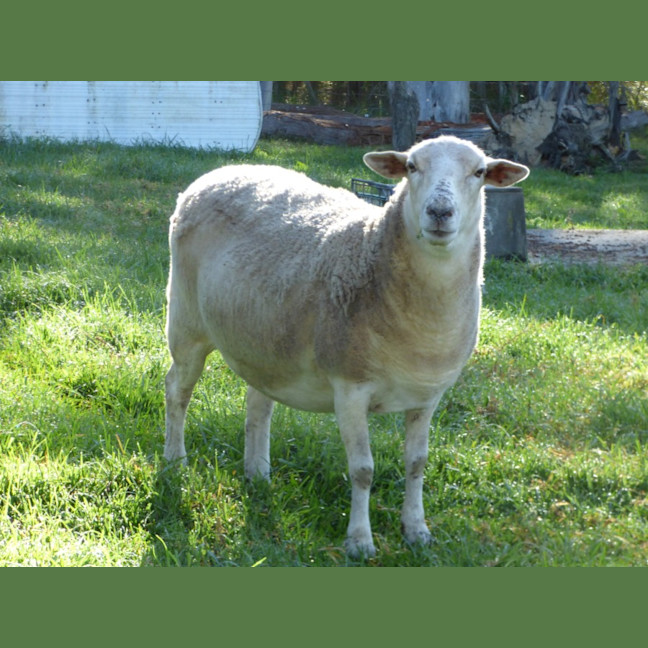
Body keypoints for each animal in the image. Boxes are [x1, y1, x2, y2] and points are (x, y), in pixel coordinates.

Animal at [164, 135, 529, 558]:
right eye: (411, 167)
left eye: (480, 172)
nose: (440, 212)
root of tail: (221, 171)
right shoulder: (350, 387)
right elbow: (363, 470)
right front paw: (359, 541)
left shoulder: (427, 396)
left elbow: (417, 463)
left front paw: (416, 530)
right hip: (186, 321)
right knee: (177, 391)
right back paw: (174, 461)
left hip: (266, 342)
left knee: (258, 403)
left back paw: (258, 474)